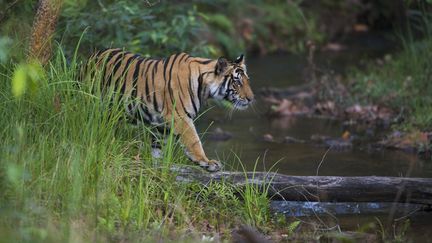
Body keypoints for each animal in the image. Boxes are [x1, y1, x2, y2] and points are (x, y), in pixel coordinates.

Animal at [86, 48, 255, 172]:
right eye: (237, 82)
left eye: (247, 80)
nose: (251, 99)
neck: (204, 88)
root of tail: (92, 56)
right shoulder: (180, 117)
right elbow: (194, 141)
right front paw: (207, 162)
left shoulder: (161, 125)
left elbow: (157, 147)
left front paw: (157, 165)